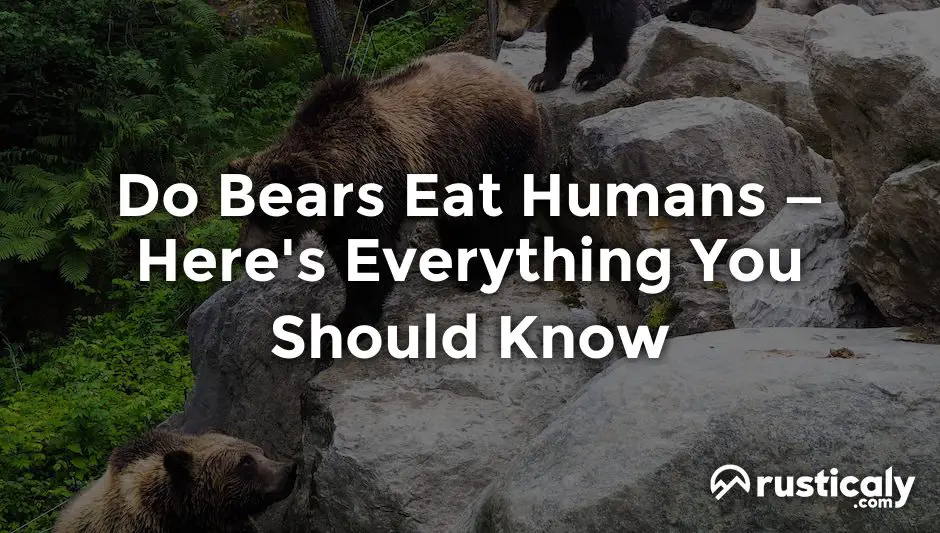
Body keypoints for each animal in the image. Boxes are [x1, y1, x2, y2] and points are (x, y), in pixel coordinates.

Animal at [230, 52, 547, 346]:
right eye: (244, 207)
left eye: (268, 210)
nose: (245, 252)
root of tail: (515, 81)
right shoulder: (339, 220)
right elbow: (346, 257)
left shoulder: (373, 189)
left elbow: (369, 263)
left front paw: (345, 324)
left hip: (493, 146)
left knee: (504, 208)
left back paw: (489, 268)